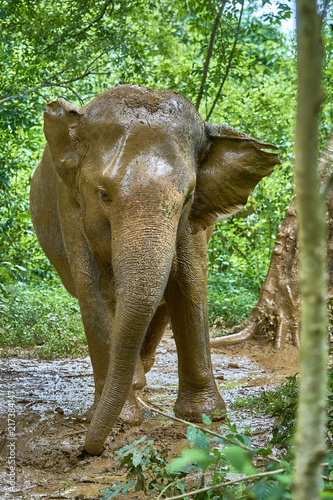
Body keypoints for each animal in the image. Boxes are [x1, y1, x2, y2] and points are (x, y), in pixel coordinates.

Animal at [30, 84, 280, 456]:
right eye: (103, 195)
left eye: (188, 197)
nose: (88, 449)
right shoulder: (68, 203)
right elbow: (94, 292)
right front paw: (122, 419)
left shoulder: (194, 220)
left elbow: (189, 283)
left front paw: (205, 416)